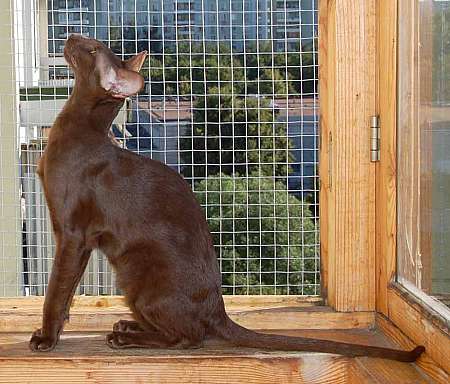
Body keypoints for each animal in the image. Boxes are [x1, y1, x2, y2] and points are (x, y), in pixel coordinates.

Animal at [29, 34, 424, 362]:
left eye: (90, 48)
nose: (70, 35)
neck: (79, 131)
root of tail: (218, 309)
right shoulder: (73, 238)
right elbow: (65, 297)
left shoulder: (72, 235)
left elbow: (56, 293)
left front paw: (45, 338)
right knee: (186, 330)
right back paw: (129, 326)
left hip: (138, 278)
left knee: (189, 337)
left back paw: (128, 337)